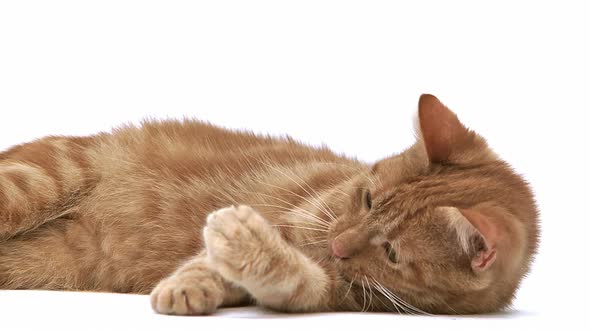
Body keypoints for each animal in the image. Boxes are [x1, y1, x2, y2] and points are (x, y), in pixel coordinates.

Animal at [0, 94, 540, 316]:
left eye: (391, 253)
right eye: (367, 199)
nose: (338, 245)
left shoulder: (318, 292)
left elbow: (285, 277)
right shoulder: (295, 217)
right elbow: (208, 257)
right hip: (43, 177)